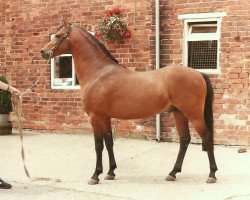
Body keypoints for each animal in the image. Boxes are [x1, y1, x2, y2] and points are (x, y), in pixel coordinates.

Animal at [40, 18, 217, 184]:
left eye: (58, 35)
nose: (43, 51)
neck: (98, 73)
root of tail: (198, 73)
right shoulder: (105, 117)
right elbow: (109, 142)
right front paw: (111, 172)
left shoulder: (95, 117)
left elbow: (98, 145)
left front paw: (95, 175)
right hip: (179, 113)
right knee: (184, 140)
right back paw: (172, 173)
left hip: (194, 115)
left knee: (207, 137)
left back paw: (212, 174)